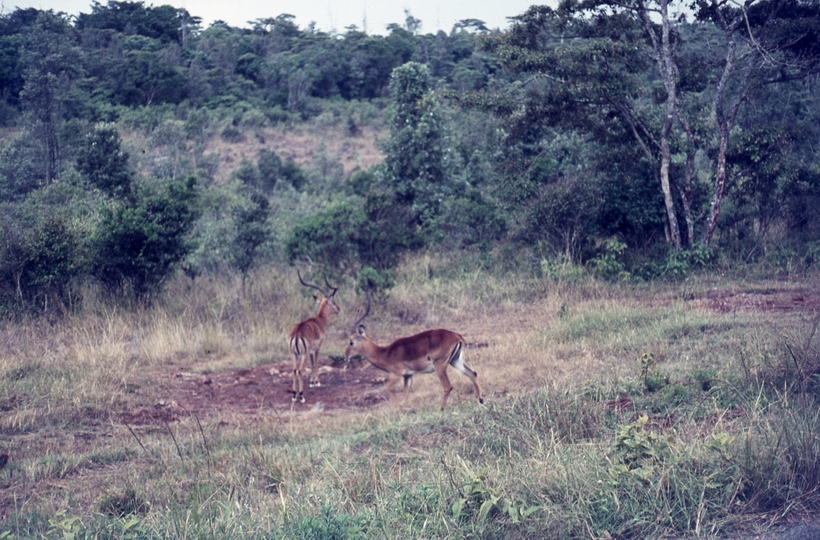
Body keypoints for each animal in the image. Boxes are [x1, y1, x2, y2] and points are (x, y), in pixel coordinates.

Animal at [288, 272, 340, 402]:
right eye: (333, 302)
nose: (339, 309)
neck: (319, 321)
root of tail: (297, 333)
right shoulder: (317, 348)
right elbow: (316, 363)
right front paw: (317, 382)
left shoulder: (311, 351)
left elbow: (312, 364)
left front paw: (312, 382)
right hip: (303, 354)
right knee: (300, 370)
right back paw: (301, 396)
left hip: (293, 354)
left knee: (293, 370)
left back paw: (294, 395)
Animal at [344, 294, 484, 412]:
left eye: (350, 342)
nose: (345, 357)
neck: (386, 353)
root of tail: (457, 336)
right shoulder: (409, 376)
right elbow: (405, 394)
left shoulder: (396, 374)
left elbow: (387, 389)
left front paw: (399, 406)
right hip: (455, 361)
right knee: (473, 374)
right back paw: (480, 400)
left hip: (440, 365)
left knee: (448, 386)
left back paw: (441, 409)